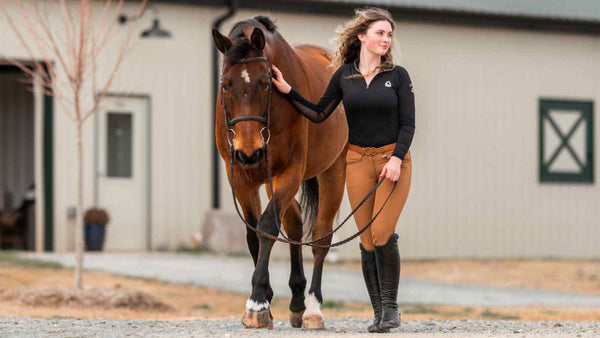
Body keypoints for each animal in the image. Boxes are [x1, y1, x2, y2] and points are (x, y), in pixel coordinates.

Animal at [213, 16, 350, 330]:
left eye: (265, 83)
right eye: (225, 85)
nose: (249, 153)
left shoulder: (290, 171)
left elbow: (267, 227)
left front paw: (257, 303)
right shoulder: (242, 179)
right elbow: (253, 233)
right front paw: (265, 300)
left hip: (333, 170)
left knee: (321, 236)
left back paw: (312, 308)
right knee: (295, 222)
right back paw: (297, 299)